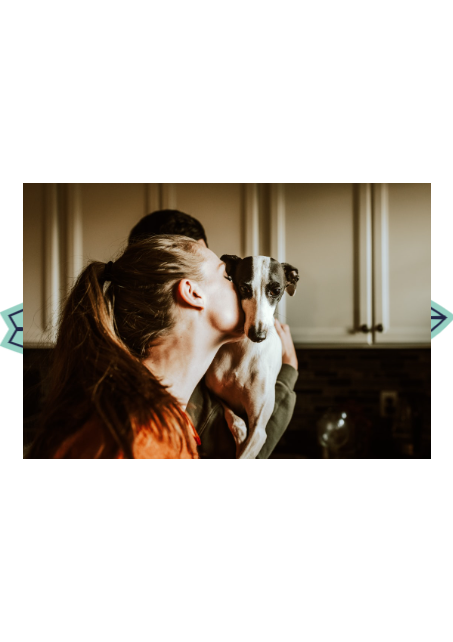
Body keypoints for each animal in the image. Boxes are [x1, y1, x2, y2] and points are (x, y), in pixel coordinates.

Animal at [205, 255, 299, 459]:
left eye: (276, 290)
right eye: (244, 288)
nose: (258, 335)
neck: (243, 351)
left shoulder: (259, 430)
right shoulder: (211, 389)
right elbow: (234, 419)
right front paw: (240, 433)